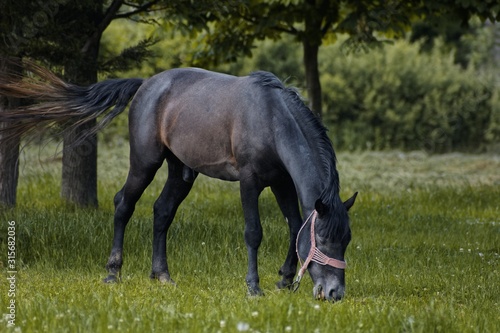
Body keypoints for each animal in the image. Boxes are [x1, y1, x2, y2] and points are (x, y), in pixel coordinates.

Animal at [1, 61, 358, 300]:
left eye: (346, 240)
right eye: (324, 240)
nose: (335, 293)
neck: (270, 118)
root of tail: (146, 84)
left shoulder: (280, 181)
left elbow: (294, 226)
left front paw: (284, 280)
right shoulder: (250, 182)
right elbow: (254, 232)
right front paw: (254, 287)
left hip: (181, 171)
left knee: (162, 212)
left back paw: (161, 276)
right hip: (145, 162)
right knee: (123, 204)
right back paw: (113, 273)